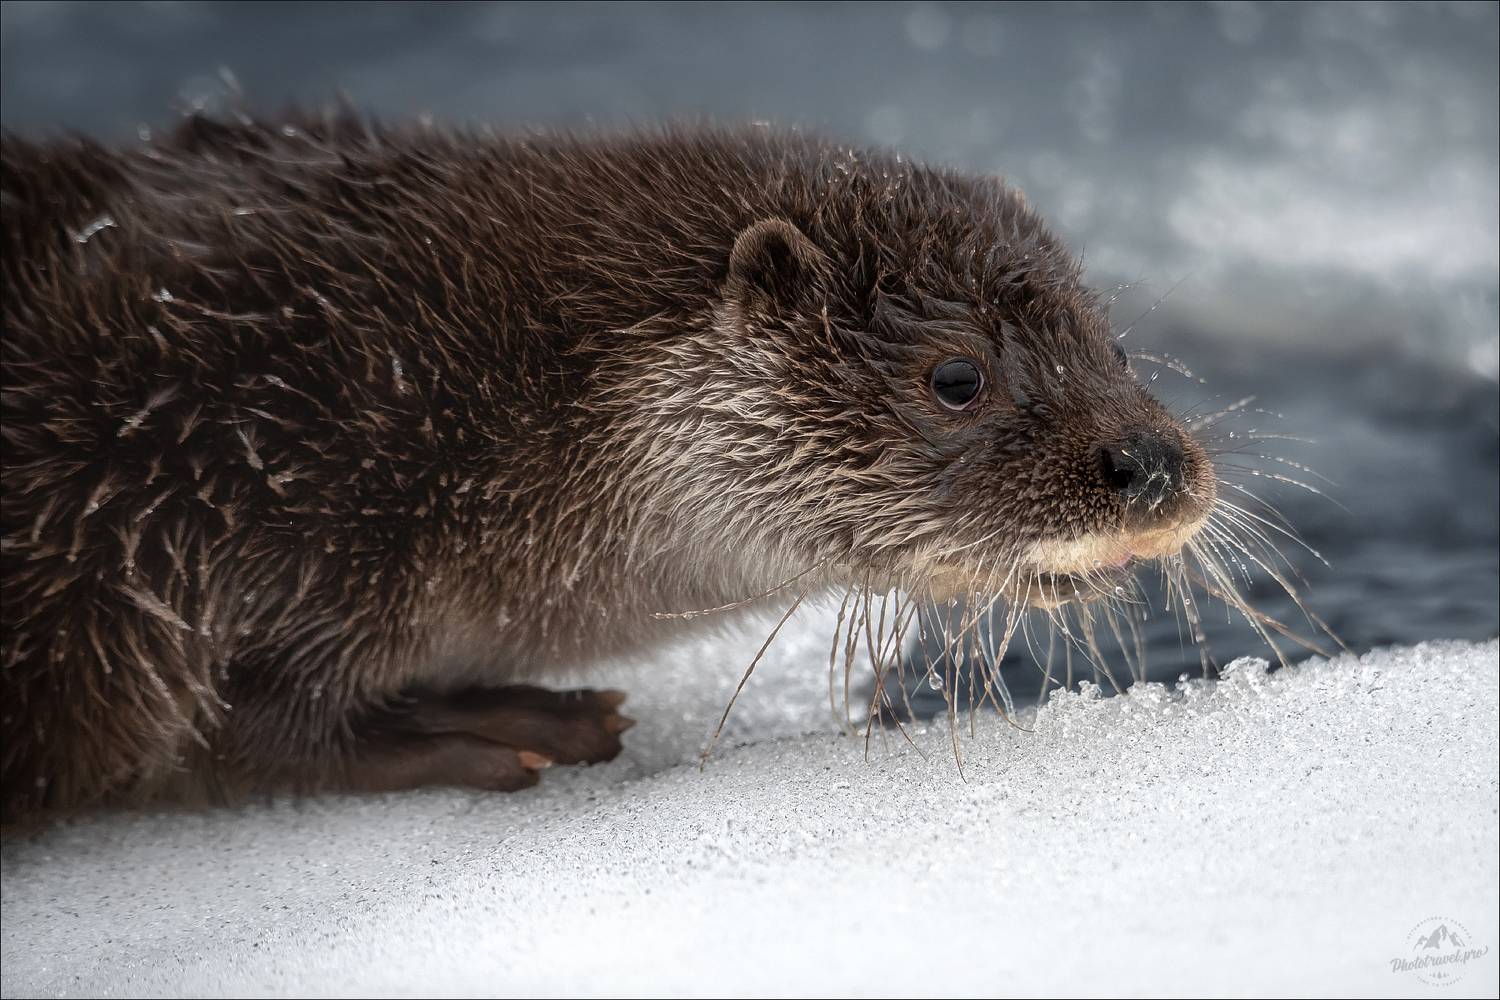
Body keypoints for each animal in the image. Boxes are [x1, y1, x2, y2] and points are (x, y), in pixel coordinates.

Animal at [1, 115, 1218, 823]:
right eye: (957, 376)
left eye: (1111, 345)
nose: (1153, 463)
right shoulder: (207, 518)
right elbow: (245, 727)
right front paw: (503, 728)